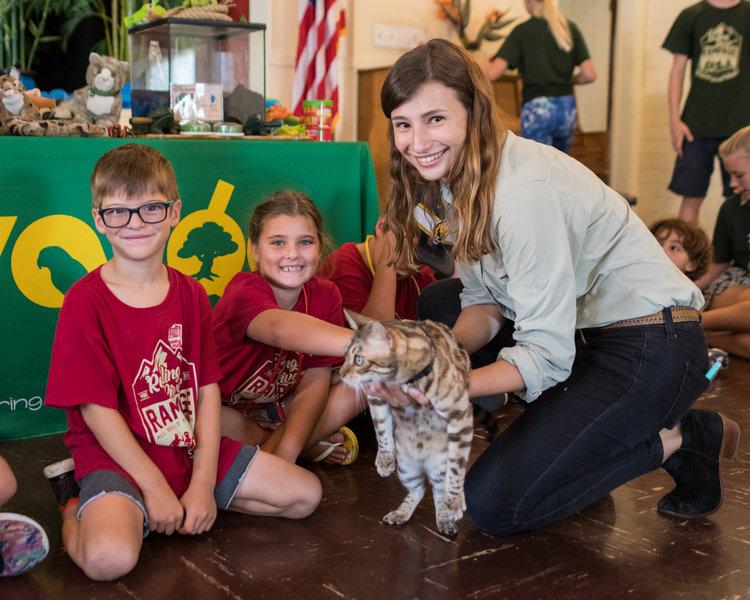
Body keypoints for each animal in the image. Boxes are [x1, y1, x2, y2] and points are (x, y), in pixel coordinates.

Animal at [344, 312, 472, 536]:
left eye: (359, 359)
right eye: (344, 356)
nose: (341, 375)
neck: (405, 381)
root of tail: (423, 464)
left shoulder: (460, 414)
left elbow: (457, 468)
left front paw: (455, 501)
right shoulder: (376, 396)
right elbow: (381, 429)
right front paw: (385, 460)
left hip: (439, 467)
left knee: (438, 492)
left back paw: (446, 517)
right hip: (407, 468)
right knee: (420, 489)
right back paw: (400, 513)